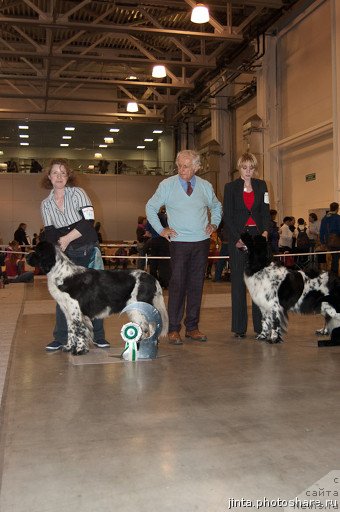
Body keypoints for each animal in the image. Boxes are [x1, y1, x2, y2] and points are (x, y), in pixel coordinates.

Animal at [26, 241, 169, 354]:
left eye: (37, 251)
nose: (26, 256)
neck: (63, 275)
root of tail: (152, 278)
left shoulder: (77, 313)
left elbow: (80, 332)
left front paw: (79, 350)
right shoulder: (68, 313)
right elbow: (71, 331)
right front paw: (68, 347)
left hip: (137, 309)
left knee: (147, 328)